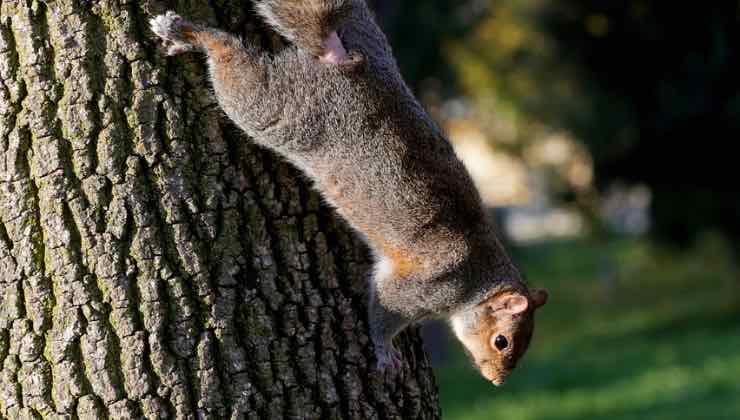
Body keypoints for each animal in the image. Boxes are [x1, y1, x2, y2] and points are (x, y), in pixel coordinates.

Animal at [150, 0, 548, 386]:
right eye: (502, 341)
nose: (496, 382)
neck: (477, 279)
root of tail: (344, 61)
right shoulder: (421, 288)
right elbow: (385, 311)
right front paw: (385, 352)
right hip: (276, 108)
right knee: (232, 66)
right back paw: (187, 33)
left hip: (365, 34)